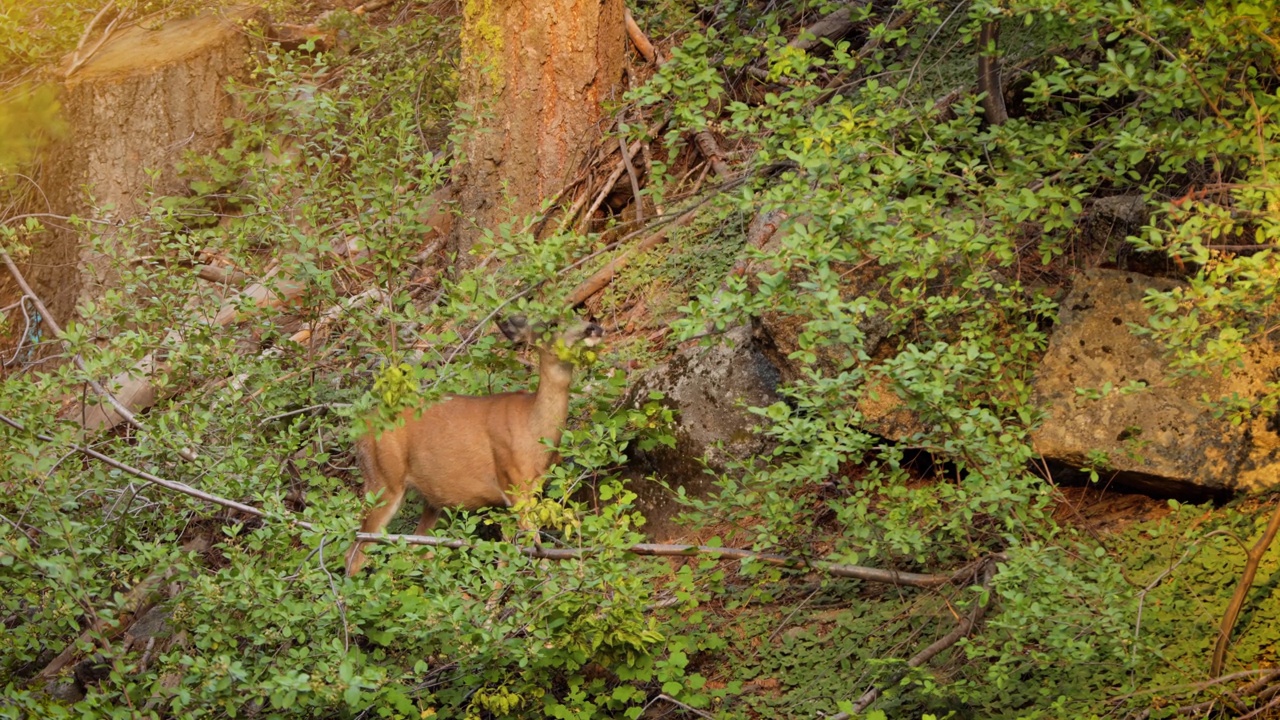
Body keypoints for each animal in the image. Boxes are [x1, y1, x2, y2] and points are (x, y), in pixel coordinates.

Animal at [345, 313, 604, 571]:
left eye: (581, 316)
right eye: (552, 324)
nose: (594, 328)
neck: (533, 431)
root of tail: (361, 429)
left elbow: (506, 555)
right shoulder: (513, 483)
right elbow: (537, 552)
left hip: (432, 500)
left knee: (418, 550)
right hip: (383, 479)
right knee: (356, 551)